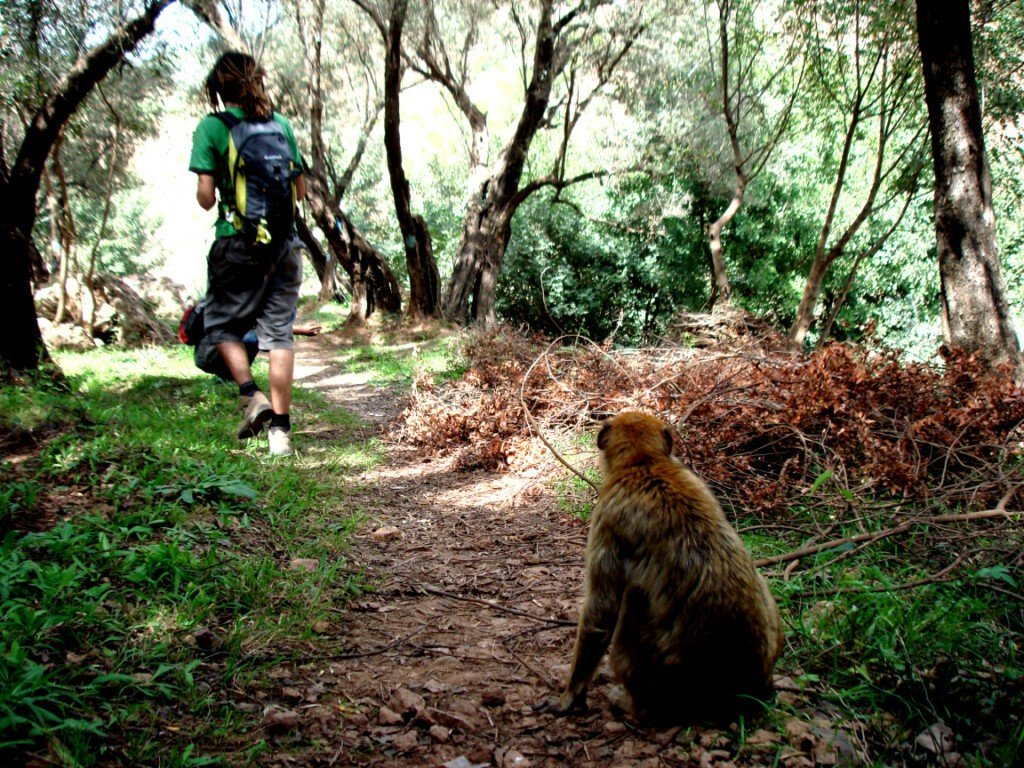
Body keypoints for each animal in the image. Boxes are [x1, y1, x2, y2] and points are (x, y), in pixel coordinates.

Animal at [542, 411, 783, 724]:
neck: (644, 462)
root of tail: (745, 691)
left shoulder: (606, 514)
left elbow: (601, 611)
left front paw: (569, 697)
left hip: (667, 678)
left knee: (631, 601)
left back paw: (632, 705)